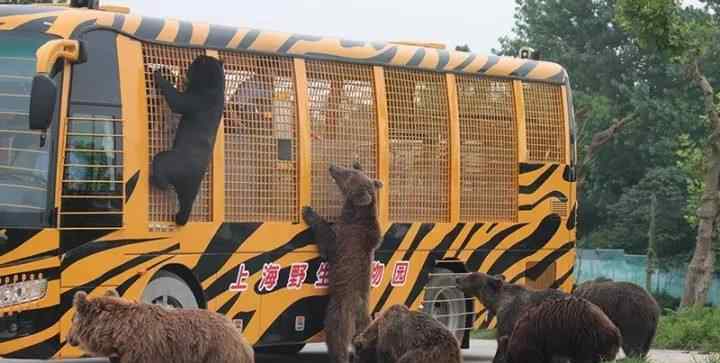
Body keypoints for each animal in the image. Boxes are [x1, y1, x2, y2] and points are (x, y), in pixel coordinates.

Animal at [149, 54, 222, 226]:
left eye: (194, 64)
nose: (187, 68)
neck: (214, 85)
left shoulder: (197, 98)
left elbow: (178, 101)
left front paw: (159, 74)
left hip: (172, 161)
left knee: (160, 165)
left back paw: (155, 180)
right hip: (192, 188)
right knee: (186, 201)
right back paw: (179, 217)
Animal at [302, 163, 382, 363]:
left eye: (348, 175)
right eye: (350, 170)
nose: (332, 166)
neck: (356, 214)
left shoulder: (346, 238)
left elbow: (327, 239)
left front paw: (308, 211)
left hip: (339, 309)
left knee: (336, 336)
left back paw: (339, 356)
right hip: (365, 323)